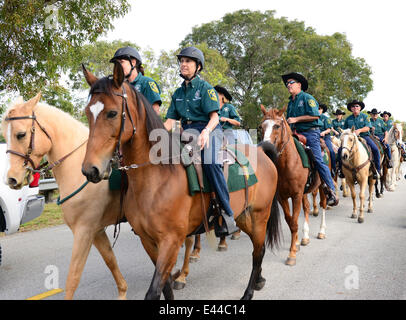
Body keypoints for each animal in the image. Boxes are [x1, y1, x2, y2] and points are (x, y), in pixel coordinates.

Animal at [1, 93, 127, 300]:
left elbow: (72, 278)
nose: (11, 179)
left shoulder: (84, 231)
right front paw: (123, 291)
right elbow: (111, 260)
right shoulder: (96, 231)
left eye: (21, 134)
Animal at [80, 63, 280, 300]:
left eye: (111, 113)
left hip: (259, 216)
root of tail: (262, 152)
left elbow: (154, 290)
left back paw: (248, 292)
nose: (90, 170)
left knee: (258, 251)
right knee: (259, 248)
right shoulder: (149, 241)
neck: (156, 179)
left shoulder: (171, 241)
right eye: (87, 112)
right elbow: (165, 285)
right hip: (244, 216)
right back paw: (259, 280)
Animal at [260, 105, 330, 264]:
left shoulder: (296, 195)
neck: (288, 163)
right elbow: (290, 220)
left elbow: (294, 222)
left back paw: (322, 231)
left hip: (321, 186)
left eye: (277, 126)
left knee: (323, 205)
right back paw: (304, 237)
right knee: (307, 208)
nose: (265, 148)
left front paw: (292, 254)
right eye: (261, 127)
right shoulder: (282, 197)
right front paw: (296, 243)